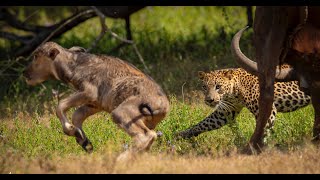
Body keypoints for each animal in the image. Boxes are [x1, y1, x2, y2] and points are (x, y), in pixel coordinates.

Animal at [176, 67, 312, 141]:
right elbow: (204, 123)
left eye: (218, 87)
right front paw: (181, 135)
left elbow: (262, 129)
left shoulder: (267, 109)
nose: (209, 100)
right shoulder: (226, 111)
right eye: (204, 87)